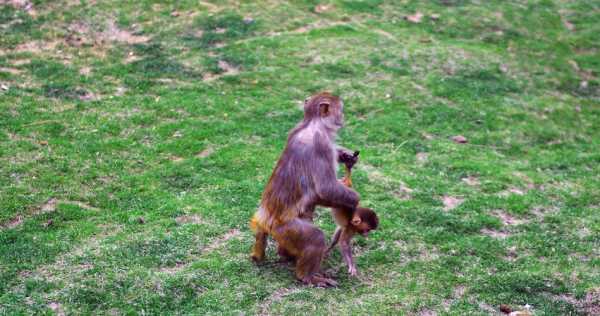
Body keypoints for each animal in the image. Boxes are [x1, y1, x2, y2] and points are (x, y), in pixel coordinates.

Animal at [250, 91, 358, 286]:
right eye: (341, 110)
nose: (343, 118)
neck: (312, 123)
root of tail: (264, 219)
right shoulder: (321, 143)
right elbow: (326, 188)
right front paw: (355, 199)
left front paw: (345, 154)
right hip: (287, 229)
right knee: (315, 236)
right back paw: (307, 276)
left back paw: (287, 256)